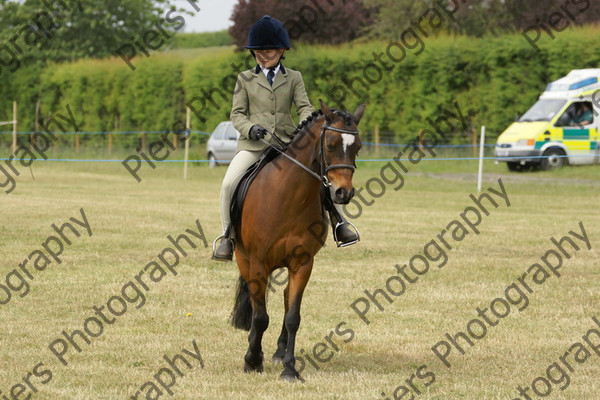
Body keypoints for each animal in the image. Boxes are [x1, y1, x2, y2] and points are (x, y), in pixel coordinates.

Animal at [229, 100, 360, 382]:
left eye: (358, 146)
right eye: (330, 144)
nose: (343, 193)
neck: (288, 195)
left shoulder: (303, 263)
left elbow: (293, 317)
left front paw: (289, 369)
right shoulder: (258, 262)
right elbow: (260, 316)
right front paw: (252, 360)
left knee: (287, 296)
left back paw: (279, 352)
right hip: (244, 259)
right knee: (256, 303)